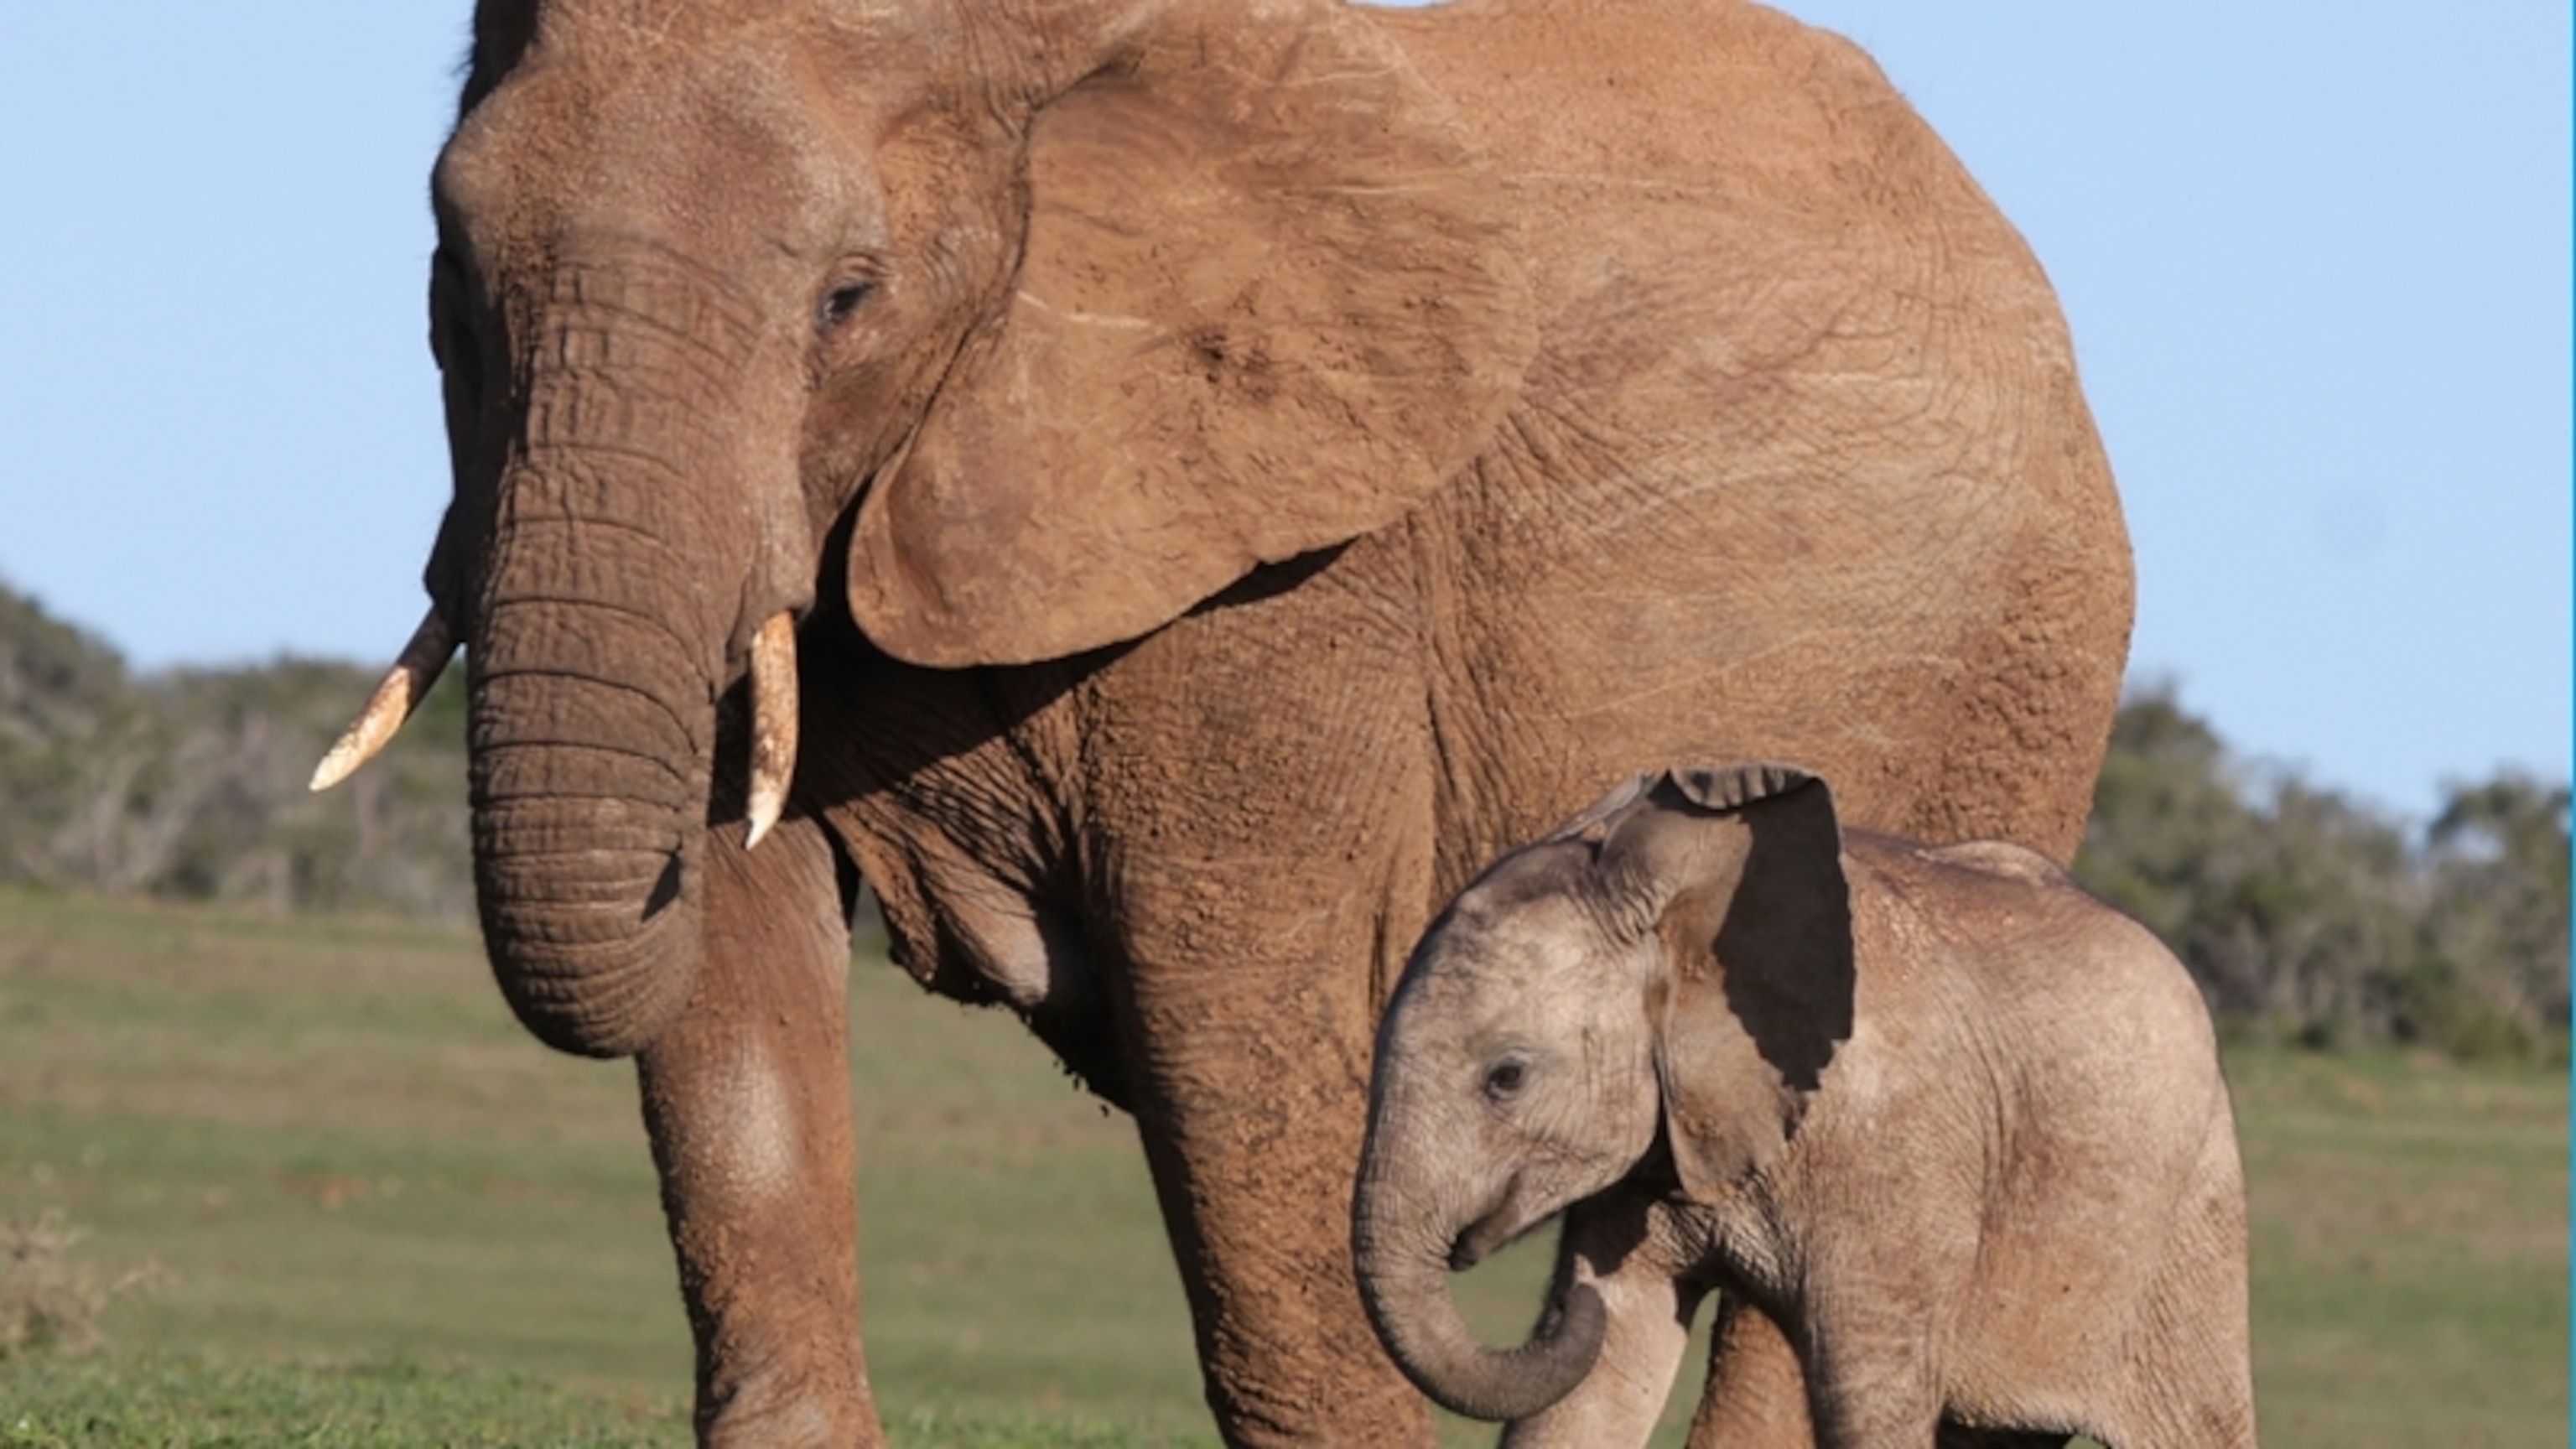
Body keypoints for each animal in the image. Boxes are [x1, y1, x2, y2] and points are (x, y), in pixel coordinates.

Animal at [322, 0, 2132, 1433]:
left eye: (850, 295)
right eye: (449, 278)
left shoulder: (1292, 582)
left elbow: (1237, 1056)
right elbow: (738, 1005)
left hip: (2019, 681)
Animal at [1349, 763, 2257, 1433]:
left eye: (1506, 1077)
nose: (1564, 1305)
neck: (1687, 918)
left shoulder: (1895, 1159)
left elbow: (1868, 1401)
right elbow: (1600, 1379)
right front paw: (1602, 1317)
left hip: (2195, 1219)